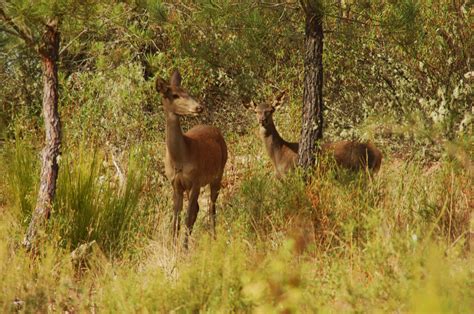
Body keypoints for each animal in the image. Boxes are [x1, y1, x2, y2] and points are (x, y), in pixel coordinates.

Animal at [156, 69, 228, 248]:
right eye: (174, 95)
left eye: (187, 91)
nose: (199, 107)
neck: (180, 158)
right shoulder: (176, 184)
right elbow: (176, 218)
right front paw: (172, 246)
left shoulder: (195, 181)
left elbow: (187, 217)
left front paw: (184, 248)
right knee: (198, 208)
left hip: (219, 172)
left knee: (211, 207)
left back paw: (214, 237)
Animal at [252, 92, 382, 178]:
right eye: (256, 111)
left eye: (270, 110)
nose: (262, 120)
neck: (278, 155)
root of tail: (379, 154)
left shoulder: (291, 173)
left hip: (360, 170)